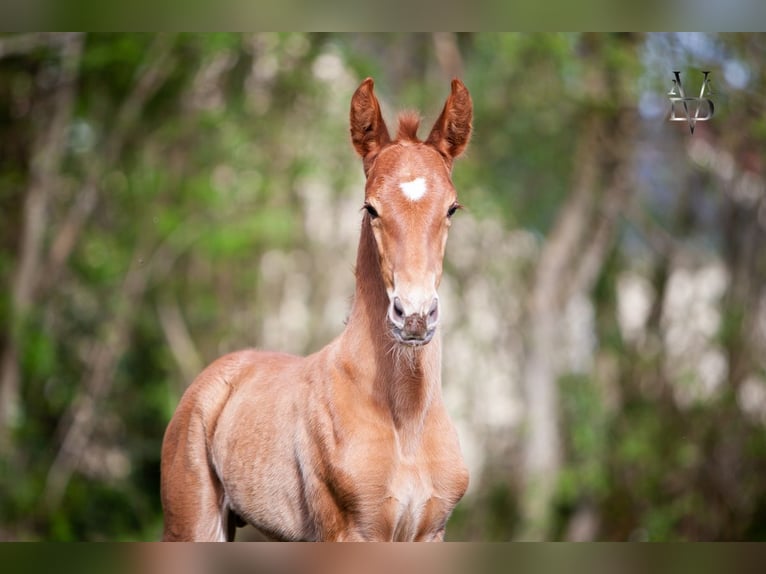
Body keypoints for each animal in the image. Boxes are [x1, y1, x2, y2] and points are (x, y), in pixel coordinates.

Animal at [162, 77, 474, 544]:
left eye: (451, 207)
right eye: (371, 207)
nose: (414, 316)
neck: (406, 424)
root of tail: (213, 377)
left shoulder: (430, 534)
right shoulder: (348, 533)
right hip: (192, 523)